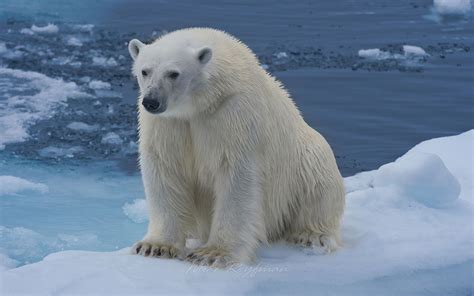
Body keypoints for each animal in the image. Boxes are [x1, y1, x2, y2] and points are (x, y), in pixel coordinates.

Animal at [129, 27, 344, 268]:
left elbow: (235, 177)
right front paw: (155, 246)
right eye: (145, 71)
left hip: (301, 158)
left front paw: (213, 253)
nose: (151, 101)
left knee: (318, 181)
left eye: (173, 73)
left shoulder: (233, 113)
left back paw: (312, 235)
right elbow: (165, 167)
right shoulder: (168, 123)